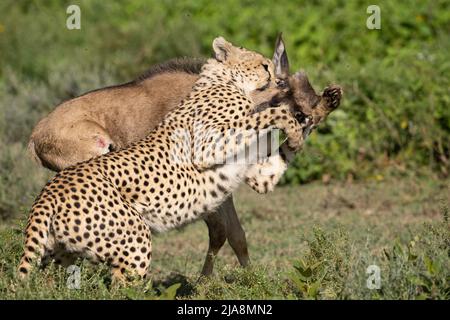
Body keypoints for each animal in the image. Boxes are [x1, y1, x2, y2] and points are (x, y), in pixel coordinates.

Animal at [18, 37, 306, 280]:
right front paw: (207, 282)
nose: (306, 112)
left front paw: (249, 278)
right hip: (98, 152)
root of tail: (34, 134)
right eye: (284, 85)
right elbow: (221, 231)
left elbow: (235, 234)